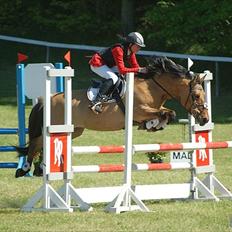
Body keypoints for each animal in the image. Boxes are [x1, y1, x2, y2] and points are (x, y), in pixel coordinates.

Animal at [14, 56, 210, 178]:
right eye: (196, 96)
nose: (205, 119)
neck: (151, 87)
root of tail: (47, 99)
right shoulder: (139, 110)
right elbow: (166, 113)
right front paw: (154, 123)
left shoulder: (152, 109)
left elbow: (167, 113)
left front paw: (153, 125)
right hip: (56, 126)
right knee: (36, 143)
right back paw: (24, 169)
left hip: (75, 130)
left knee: (41, 144)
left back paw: (39, 169)